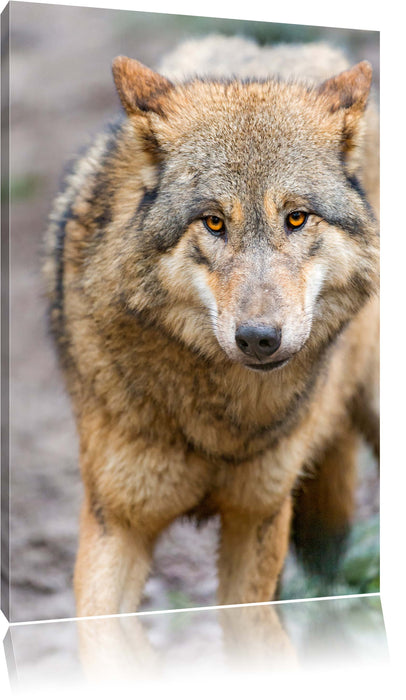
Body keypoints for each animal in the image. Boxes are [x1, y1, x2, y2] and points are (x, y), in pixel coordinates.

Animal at [43, 38, 379, 617]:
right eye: (214, 222)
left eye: (296, 218)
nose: (259, 338)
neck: (221, 427)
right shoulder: (116, 521)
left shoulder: (259, 516)